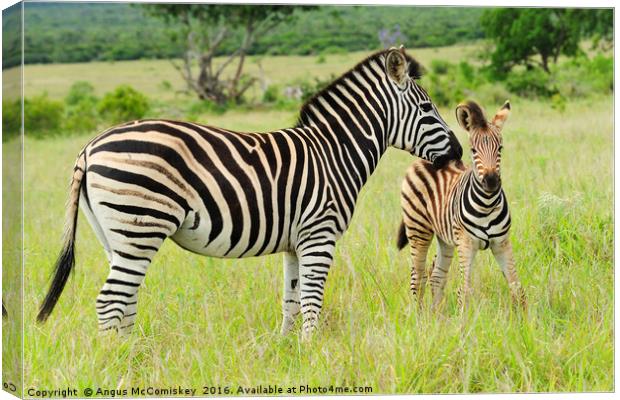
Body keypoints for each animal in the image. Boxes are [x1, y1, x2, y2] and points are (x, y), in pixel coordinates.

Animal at [36, 47, 462, 340]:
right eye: (428, 109)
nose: (458, 152)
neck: (335, 152)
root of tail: (90, 148)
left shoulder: (295, 241)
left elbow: (292, 298)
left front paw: (288, 350)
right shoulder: (319, 235)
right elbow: (312, 298)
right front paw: (312, 349)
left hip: (118, 237)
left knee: (125, 297)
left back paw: (133, 354)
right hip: (140, 225)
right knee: (110, 300)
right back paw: (118, 362)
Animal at [394, 99, 524, 310]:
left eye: (500, 149)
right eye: (473, 150)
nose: (491, 181)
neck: (487, 205)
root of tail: (423, 159)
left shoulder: (502, 243)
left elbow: (517, 287)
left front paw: (524, 318)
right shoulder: (466, 243)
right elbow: (464, 290)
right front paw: (463, 319)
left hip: (445, 238)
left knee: (436, 275)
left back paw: (437, 315)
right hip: (418, 229)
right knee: (417, 277)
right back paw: (419, 315)